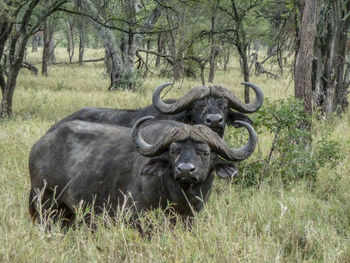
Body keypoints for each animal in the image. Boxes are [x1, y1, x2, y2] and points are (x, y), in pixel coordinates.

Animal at [28, 116, 258, 228]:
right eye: (173, 151)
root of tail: (40, 144)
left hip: (67, 214)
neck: (179, 197)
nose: (185, 170)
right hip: (45, 205)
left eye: (204, 152)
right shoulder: (138, 218)